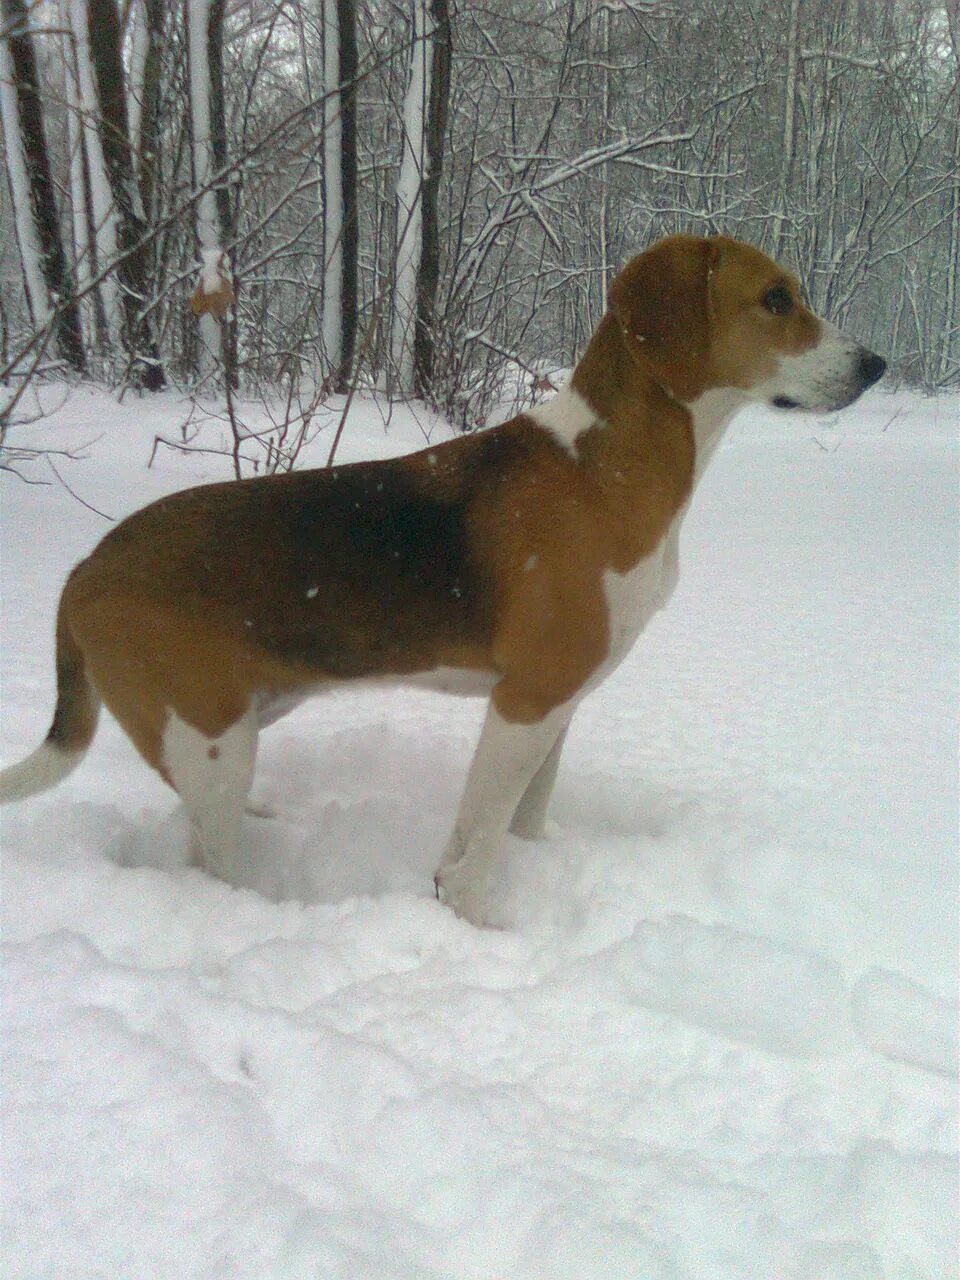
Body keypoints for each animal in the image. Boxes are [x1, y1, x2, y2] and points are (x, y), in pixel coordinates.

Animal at [0, 238, 885, 921]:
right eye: (776, 298)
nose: (877, 365)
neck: (606, 466)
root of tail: (85, 568)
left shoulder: (560, 702)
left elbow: (520, 820)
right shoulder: (525, 703)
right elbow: (477, 848)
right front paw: (477, 925)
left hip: (242, 719)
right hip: (212, 740)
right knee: (205, 866)